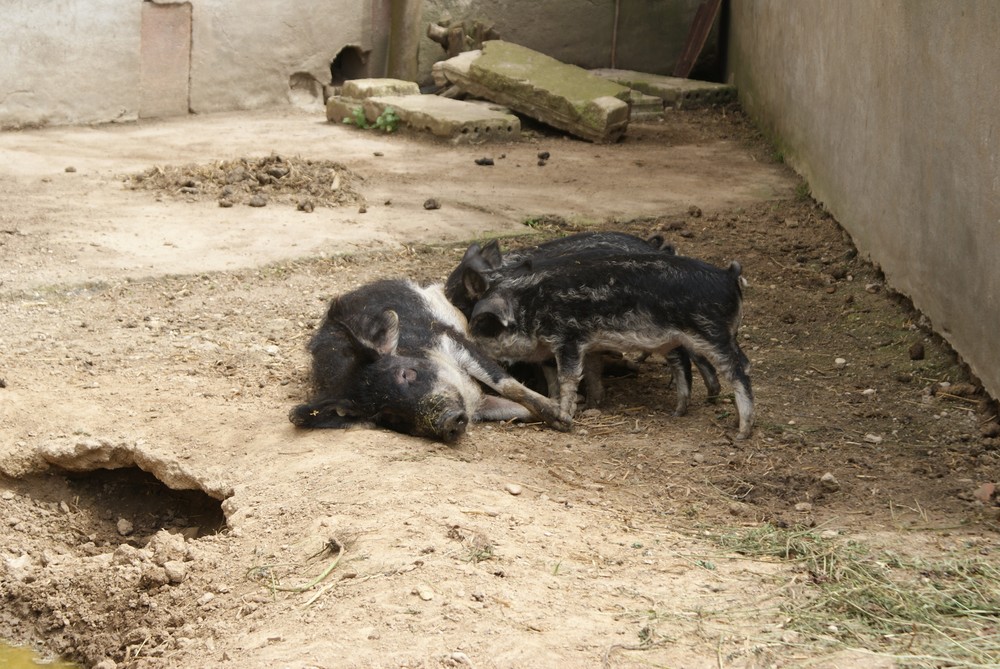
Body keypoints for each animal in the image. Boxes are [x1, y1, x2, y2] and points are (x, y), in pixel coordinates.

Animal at [290, 278, 572, 444]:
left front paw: (563, 418)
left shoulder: (447, 338)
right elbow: (517, 411)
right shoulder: (479, 404)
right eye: (388, 416)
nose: (446, 421)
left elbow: (505, 383)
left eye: (407, 373)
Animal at [464, 252, 752, 438]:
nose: (469, 340)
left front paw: (566, 414)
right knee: (683, 363)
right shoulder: (584, 344)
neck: (532, 306)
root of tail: (729, 276)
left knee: (740, 368)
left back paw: (741, 432)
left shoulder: (568, 337)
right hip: (676, 338)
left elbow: (569, 376)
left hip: (714, 333)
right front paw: (588, 406)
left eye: (482, 326)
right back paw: (678, 413)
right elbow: (586, 373)